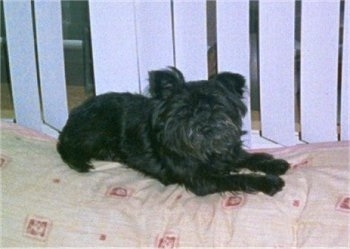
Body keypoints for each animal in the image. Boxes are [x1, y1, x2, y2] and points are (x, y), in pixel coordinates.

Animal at [57, 67, 288, 196]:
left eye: (217, 106)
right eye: (185, 110)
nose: (204, 122)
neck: (207, 152)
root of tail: (74, 115)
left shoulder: (227, 154)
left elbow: (248, 157)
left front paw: (274, 164)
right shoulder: (203, 180)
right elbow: (238, 178)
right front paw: (268, 181)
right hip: (95, 131)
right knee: (67, 147)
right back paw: (81, 160)